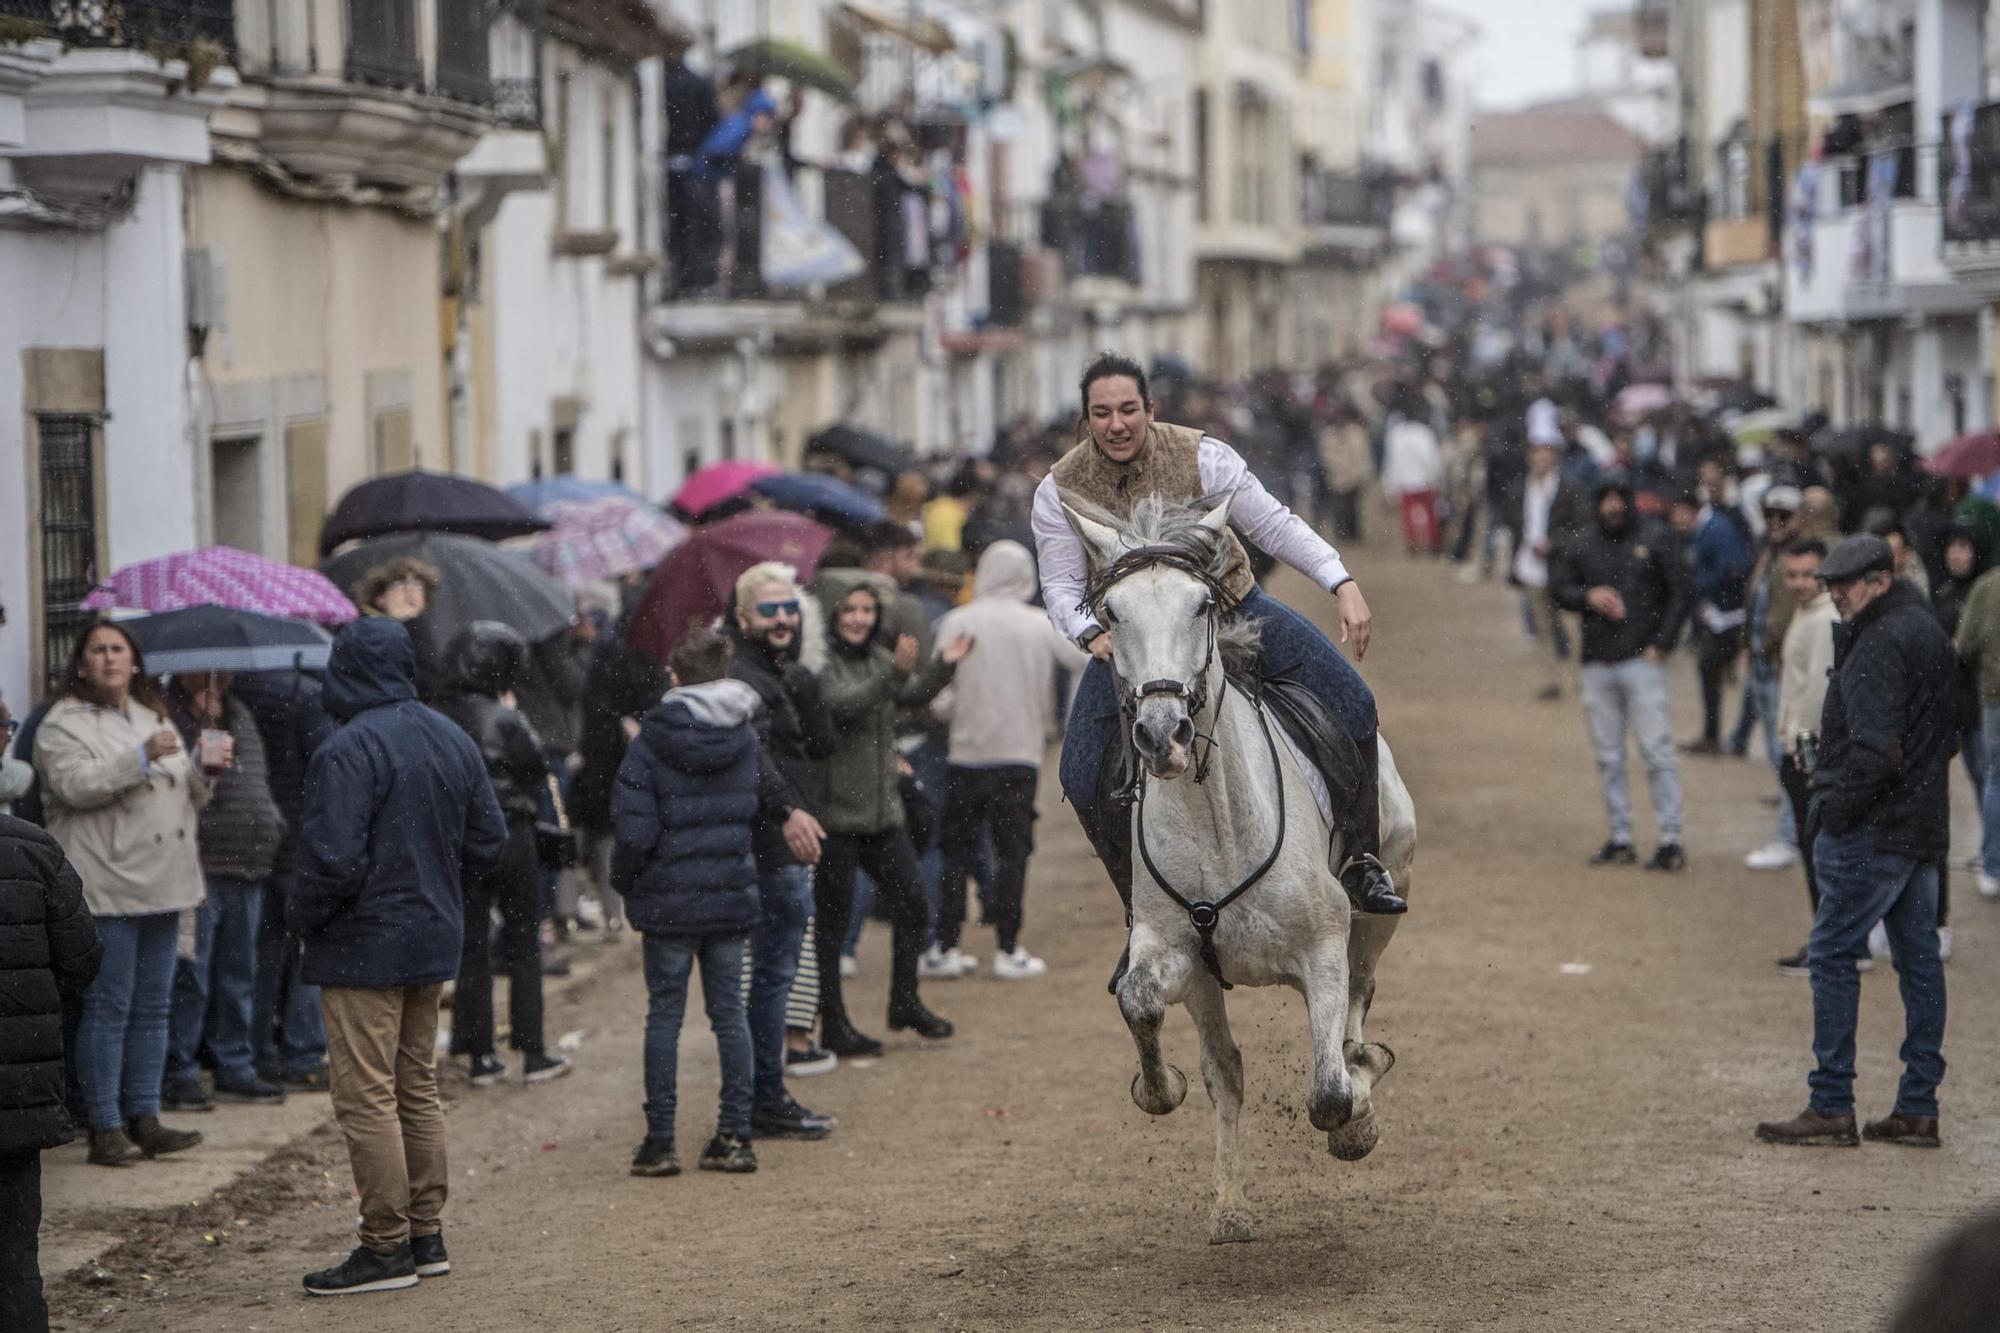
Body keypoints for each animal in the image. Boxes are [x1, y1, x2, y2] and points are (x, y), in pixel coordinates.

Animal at [1064, 492, 1424, 1240]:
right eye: (1111, 613)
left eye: (1202, 603)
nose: (1163, 735)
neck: (1216, 822)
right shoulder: (1176, 954)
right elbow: (1145, 1007)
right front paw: (1159, 1087)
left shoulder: (1322, 948)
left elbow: (1328, 1092)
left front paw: (1357, 1117)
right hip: (1208, 981)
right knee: (1225, 1069)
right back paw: (1229, 1206)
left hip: (1384, 899)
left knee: (1360, 995)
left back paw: (1363, 1072)